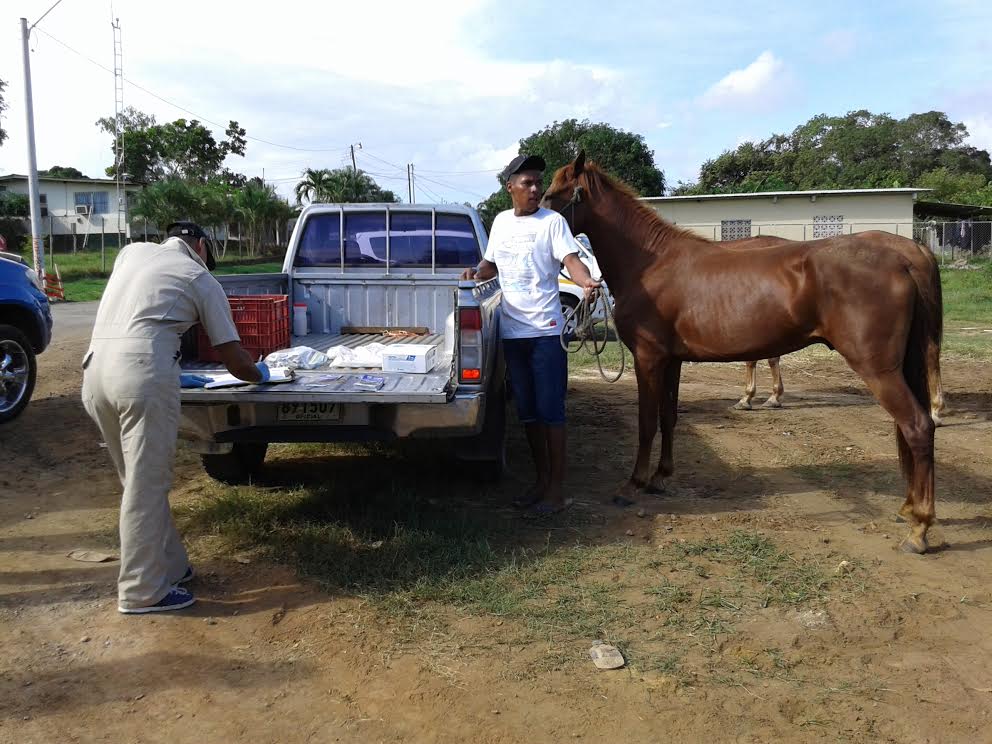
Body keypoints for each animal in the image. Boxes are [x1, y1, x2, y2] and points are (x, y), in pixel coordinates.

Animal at [544, 154, 944, 552]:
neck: (650, 265)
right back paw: (908, 510)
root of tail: (904, 259)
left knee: (917, 426)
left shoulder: (648, 359)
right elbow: (668, 418)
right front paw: (660, 477)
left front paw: (634, 484)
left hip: (879, 369)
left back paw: (920, 528)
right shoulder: (671, 361)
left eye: (552, 195)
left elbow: (646, 423)